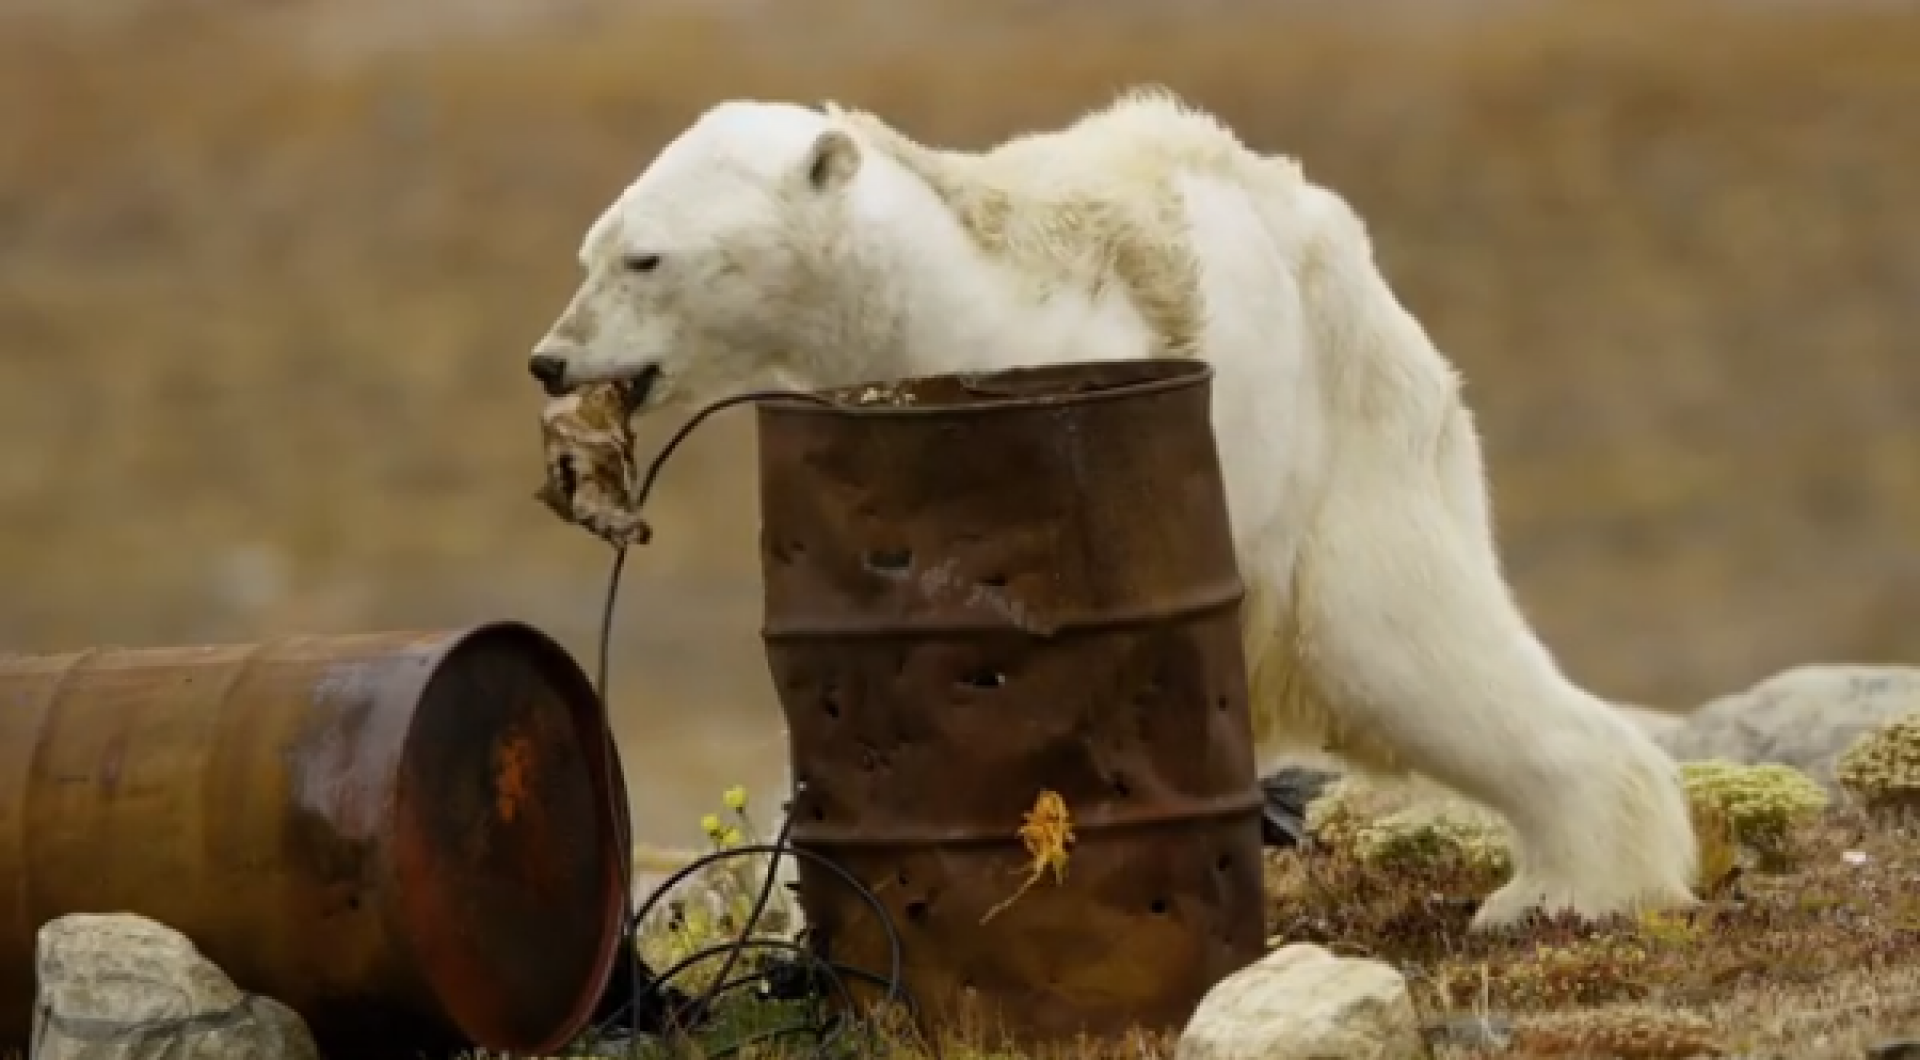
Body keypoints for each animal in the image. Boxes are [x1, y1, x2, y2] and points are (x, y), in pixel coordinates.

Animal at [522, 86, 1697, 929]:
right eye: (591, 248)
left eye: (646, 257)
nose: (550, 358)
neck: (926, 302)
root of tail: (1346, 249)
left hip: (1342, 445)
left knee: (1405, 646)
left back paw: (1567, 886)